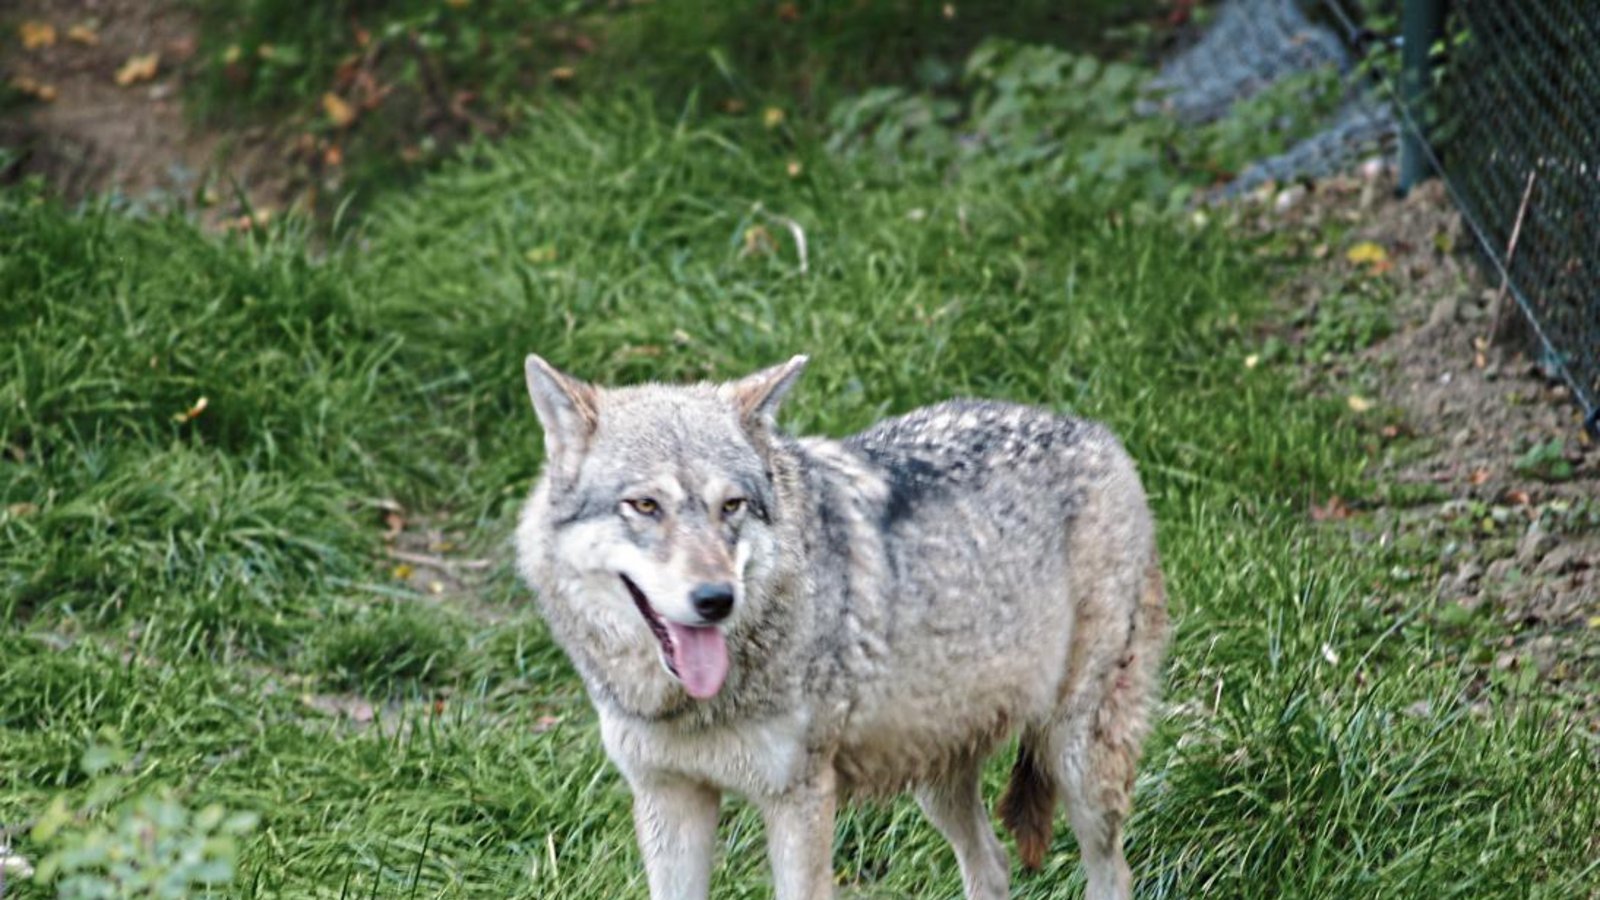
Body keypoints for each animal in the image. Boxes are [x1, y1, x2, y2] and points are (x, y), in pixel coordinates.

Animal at [515, 354, 1167, 900]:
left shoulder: (799, 801)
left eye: (732, 506)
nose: (716, 600)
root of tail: (1098, 432)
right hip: (935, 778)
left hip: (1077, 760)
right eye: (645, 506)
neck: (691, 707)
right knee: (993, 864)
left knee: (1112, 873)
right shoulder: (668, 797)